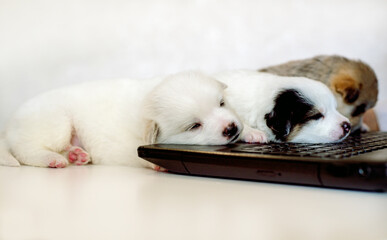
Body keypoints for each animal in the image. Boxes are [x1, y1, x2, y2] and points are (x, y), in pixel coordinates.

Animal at [0, 72, 244, 168]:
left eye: (222, 103)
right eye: (195, 126)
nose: (231, 129)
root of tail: (10, 126)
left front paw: (249, 131)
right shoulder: (128, 147)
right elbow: (142, 157)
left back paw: (76, 155)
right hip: (54, 123)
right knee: (25, 150)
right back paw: (52, 159)